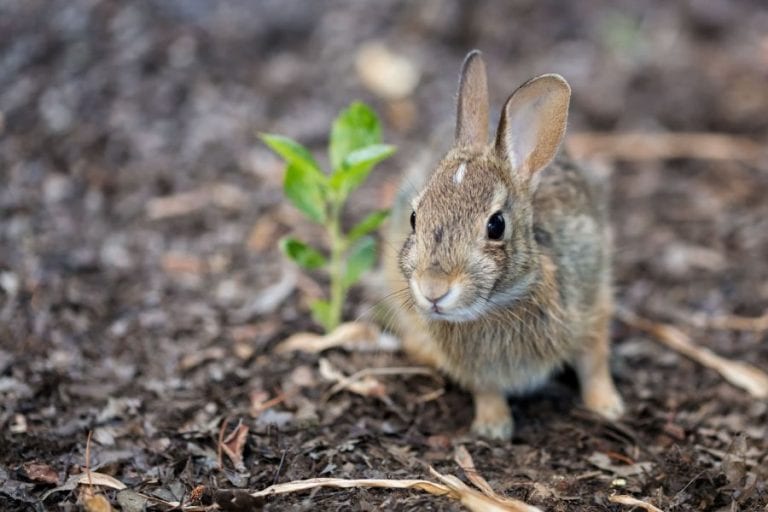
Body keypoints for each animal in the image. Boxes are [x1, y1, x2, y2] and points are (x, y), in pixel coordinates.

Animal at [384, 50, 625, 440]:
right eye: (414, 218)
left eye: (496, 225)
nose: (433, 290)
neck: (501, 304)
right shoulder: (475, 369)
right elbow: (486, 389)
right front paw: (493, 427)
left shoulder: (592, 304)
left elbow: (594, 360)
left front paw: (607, 407)